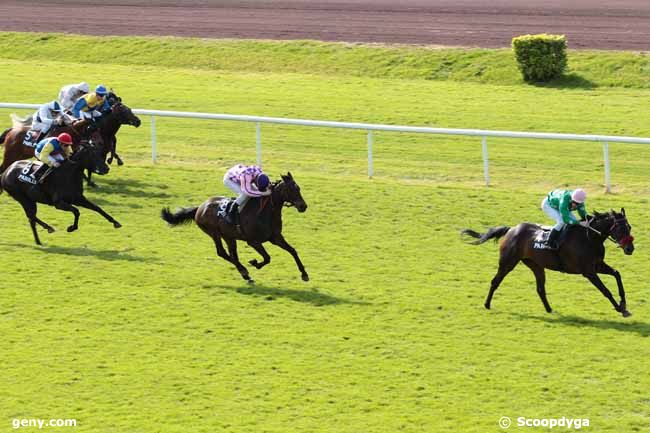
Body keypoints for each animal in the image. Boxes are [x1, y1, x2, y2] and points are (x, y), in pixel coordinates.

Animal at [159, 172, 306, 284]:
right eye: (291, 189)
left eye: (299, 188)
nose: (303, 206)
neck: (265, 211)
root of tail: (200, 207)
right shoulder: (253, 241)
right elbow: (267, 258)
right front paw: (255, 262)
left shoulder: (275, 237)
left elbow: (293, 251)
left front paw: (304, 274)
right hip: (214, 233)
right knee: (222, 252)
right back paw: (244, 271)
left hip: (229, 236)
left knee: (232, 254)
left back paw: (245, 274)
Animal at [460, 209, 632, 318]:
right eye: (621, 228)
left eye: (629, 227)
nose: (630, 248)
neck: (589, 237)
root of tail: (511, 229)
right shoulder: (588, 272)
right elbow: (605, 290)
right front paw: (619, 308)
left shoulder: (597, 266)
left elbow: (617, 274)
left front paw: (623, 303)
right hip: (508, 262)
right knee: (495, 281)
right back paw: (487, 304)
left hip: (536, 265)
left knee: (540, 289)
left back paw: (550, 309)